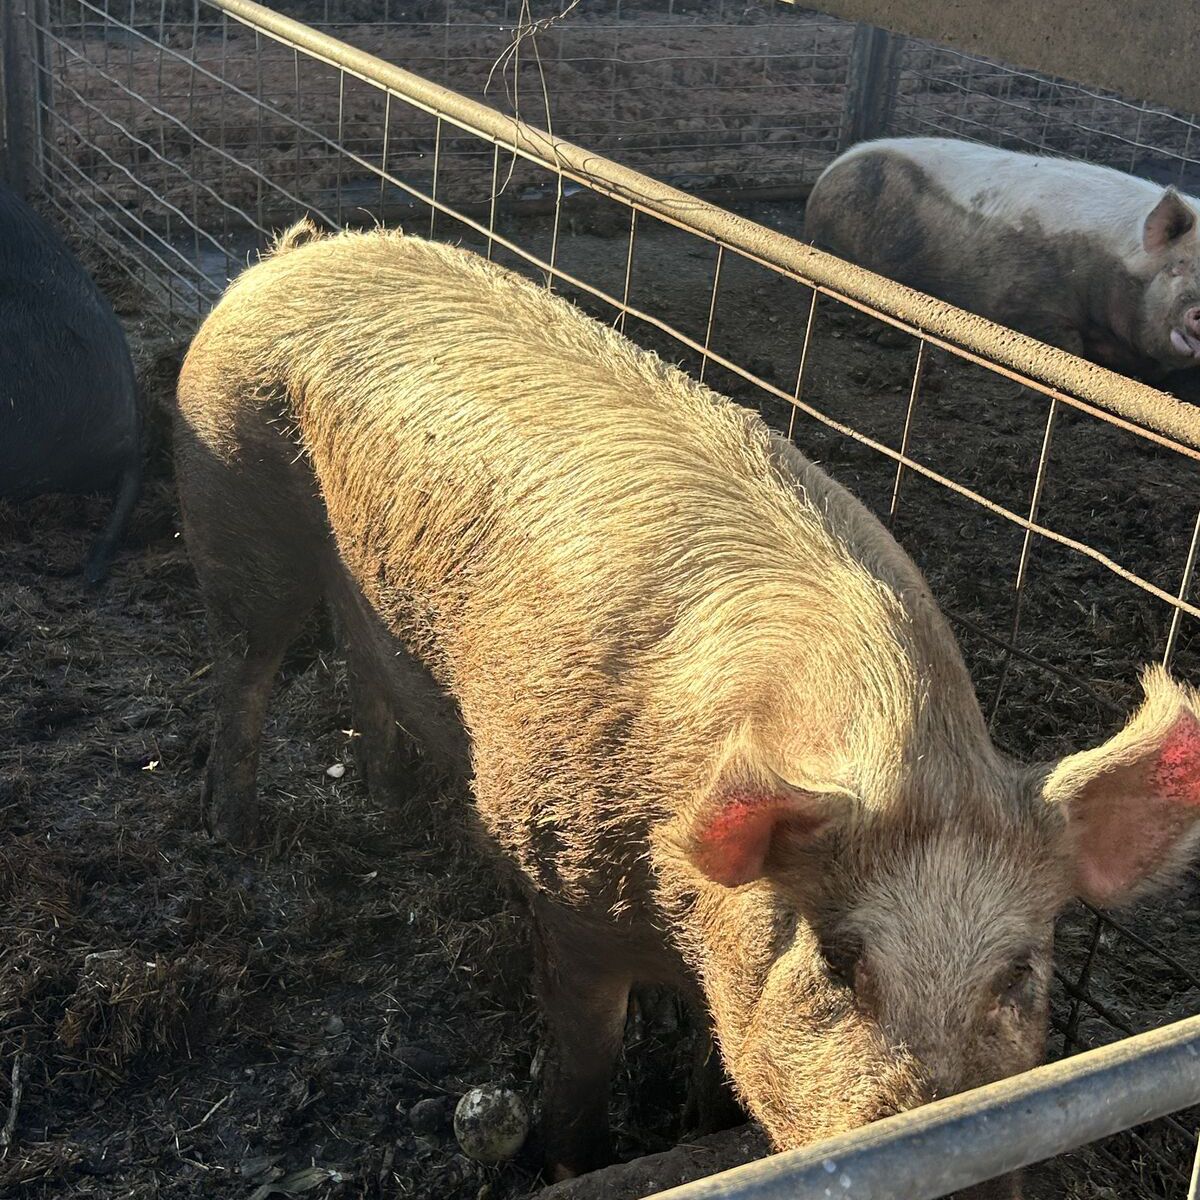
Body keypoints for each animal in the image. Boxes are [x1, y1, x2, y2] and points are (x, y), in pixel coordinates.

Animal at [173, 220, 1200, 1197]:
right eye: (838, 960)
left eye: (1020, 972)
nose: (956, 1164)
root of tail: (294, 256)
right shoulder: (563, 879)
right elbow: (584, 1056)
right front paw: (570, 1164)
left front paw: (701, 1124)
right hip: (232, 492)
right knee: (246, 669)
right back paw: (233, 830)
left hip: (359, 581)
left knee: (360, 663)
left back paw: (387, 804)